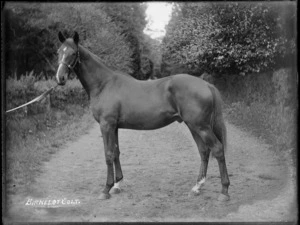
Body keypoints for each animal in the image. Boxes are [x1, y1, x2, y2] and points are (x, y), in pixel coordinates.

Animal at [55, 30, 230, 201]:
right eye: (59, 51)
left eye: (73, 53)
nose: (60, 78)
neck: (104, 84)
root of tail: (206, 84)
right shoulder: (114, 126)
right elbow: (116, 152)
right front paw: (117, 185)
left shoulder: (106, 125)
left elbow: (108, 154)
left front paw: (106, 189)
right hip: (194, 126)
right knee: (204, 151)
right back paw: (197, 187)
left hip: (201, 127)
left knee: (217, 149)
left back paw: (224, 191)